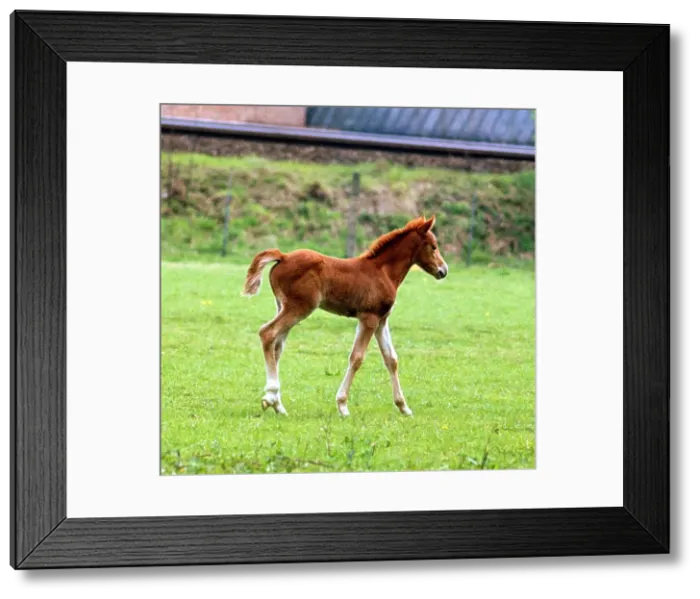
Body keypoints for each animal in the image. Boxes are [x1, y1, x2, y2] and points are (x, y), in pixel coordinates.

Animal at [241, 215, 448, 417]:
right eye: (433, 246)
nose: (443, 270)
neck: (382, 272)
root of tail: (283, 256)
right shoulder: (369, 318)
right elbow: (356, 358)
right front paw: (342, 405)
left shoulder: (382, 320)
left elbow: (391, 359)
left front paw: (403, 407)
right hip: (299, 308)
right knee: (267, 332)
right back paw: (270, 396)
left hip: (283, 307)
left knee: (277, 346)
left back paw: (278, 405)